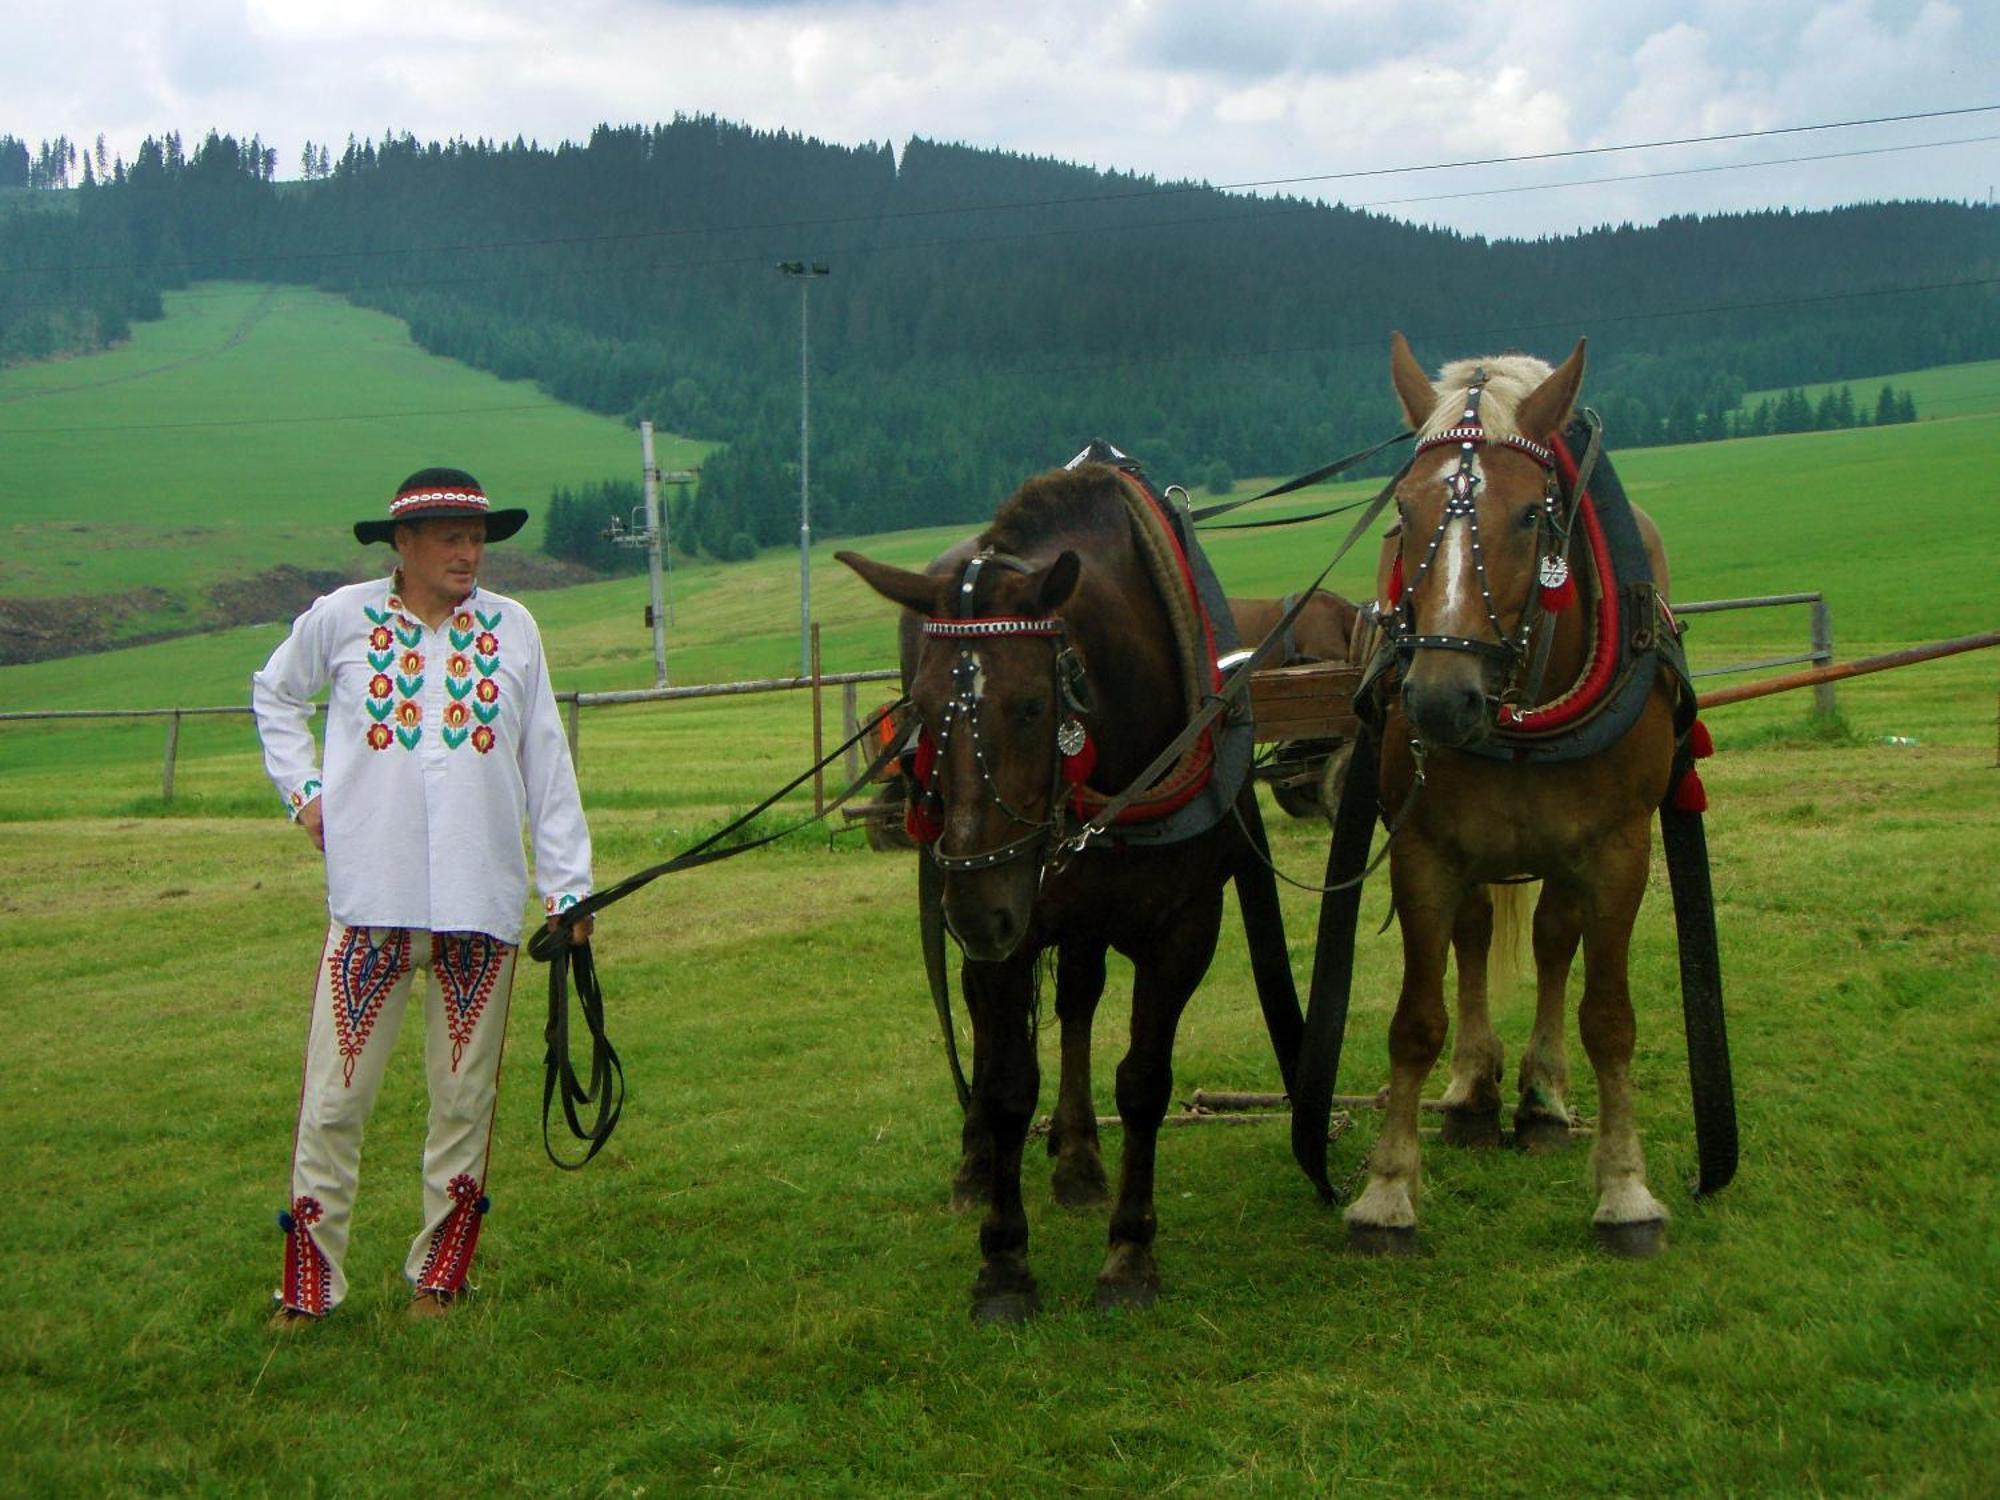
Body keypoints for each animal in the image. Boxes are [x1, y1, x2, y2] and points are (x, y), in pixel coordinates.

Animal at [836, 464, 1272, 1320]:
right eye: (920, 713)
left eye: (1033, 706)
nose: (978, 916)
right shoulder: (1014, 926)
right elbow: (1008, 1085)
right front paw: (1004, 1262)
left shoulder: (1186, 929)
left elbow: (1143, 1081)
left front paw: (1130, 1252)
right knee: (981, 1012)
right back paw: (977, 1163)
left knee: (1076, 1000)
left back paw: (1078, 1158)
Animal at [1344, 334, 1688, 1264]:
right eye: (1405, 514)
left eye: (1533, 516)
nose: (1438, 699)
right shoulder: (1424, 851)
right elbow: (1415, 1020)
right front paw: (1387, 1192)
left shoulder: (1619, 851)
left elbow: (1609, 1017)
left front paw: (1625, 1189)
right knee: (1474, 939)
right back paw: (1476, 1090)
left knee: (1553, 942)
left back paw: (1542, 1098)